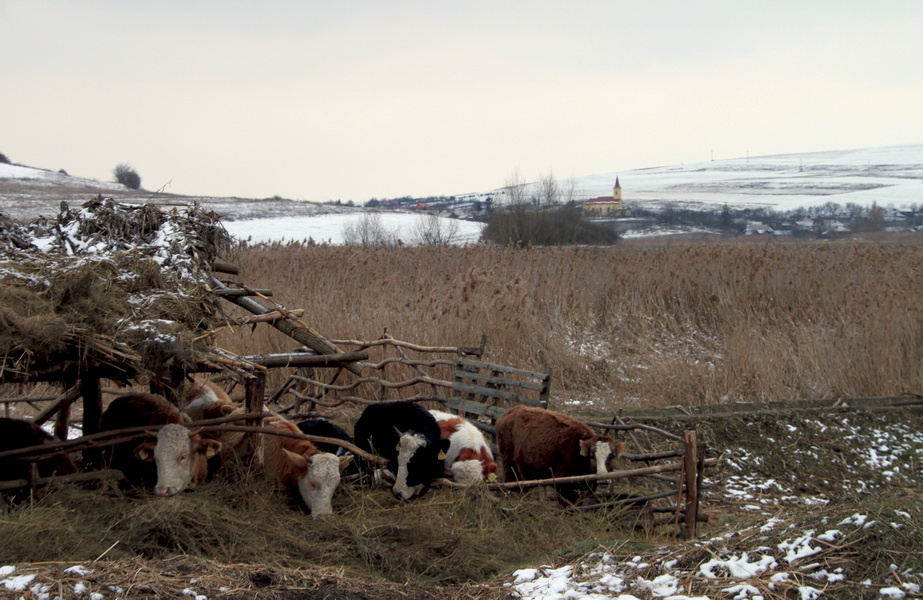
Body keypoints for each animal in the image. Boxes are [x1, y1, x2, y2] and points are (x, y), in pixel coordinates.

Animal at [494, 406, 624, 504]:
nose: (603, 480)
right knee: (511, 485)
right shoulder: (562, 486)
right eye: (592, 456)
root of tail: (511, 411)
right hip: (508, 464)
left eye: (612, 456)